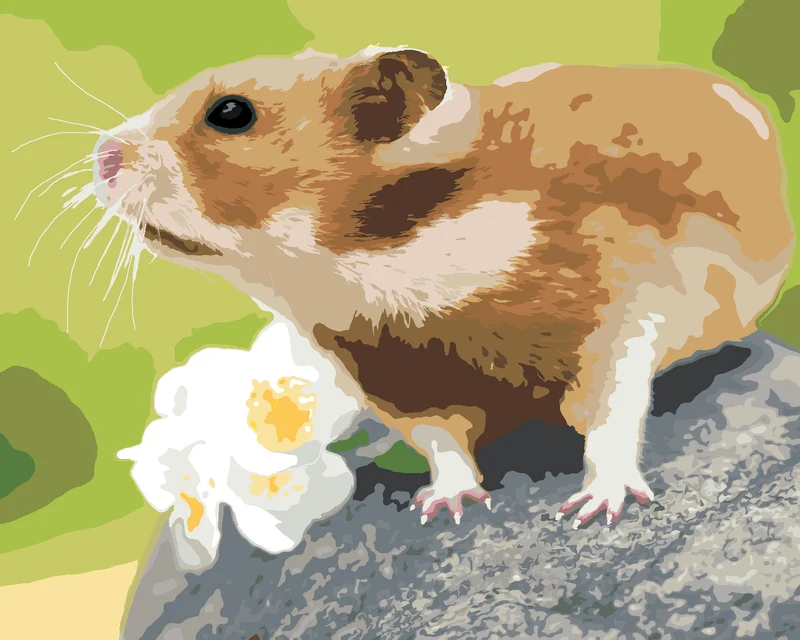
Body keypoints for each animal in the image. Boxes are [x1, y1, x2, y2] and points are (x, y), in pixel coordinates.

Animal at [92, 46, 795, 528]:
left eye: (231, 113)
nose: (101, 157)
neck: (365, 266)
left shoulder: (615, 314)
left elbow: (612, 411)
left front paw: (597, 508)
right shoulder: (394, 380)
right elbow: (443, 443)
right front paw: (446, 507)